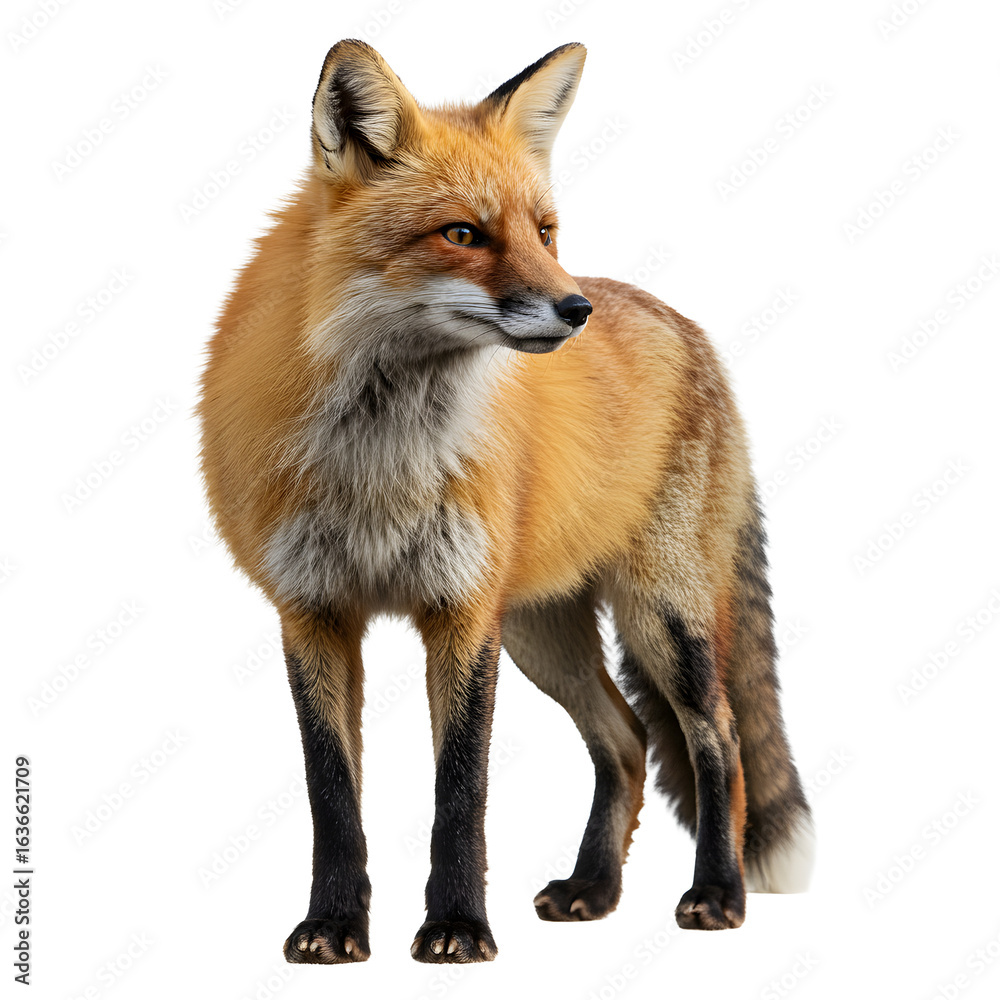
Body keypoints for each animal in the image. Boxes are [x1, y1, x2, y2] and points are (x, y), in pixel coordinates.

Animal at [197, 39, 814, 964]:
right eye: (463, 234)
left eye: (544, 231)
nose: (575, 308)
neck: (380, 461)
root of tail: (684, 324)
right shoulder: (312, 611)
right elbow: (331, 795)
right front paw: (333, 926)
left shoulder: (462, 611)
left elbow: (461, 792)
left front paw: (456, 926)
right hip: (542, 633)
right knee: (627, 742)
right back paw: (594, 889)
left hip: (660, 616)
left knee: (721, 741)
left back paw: (717, 893)